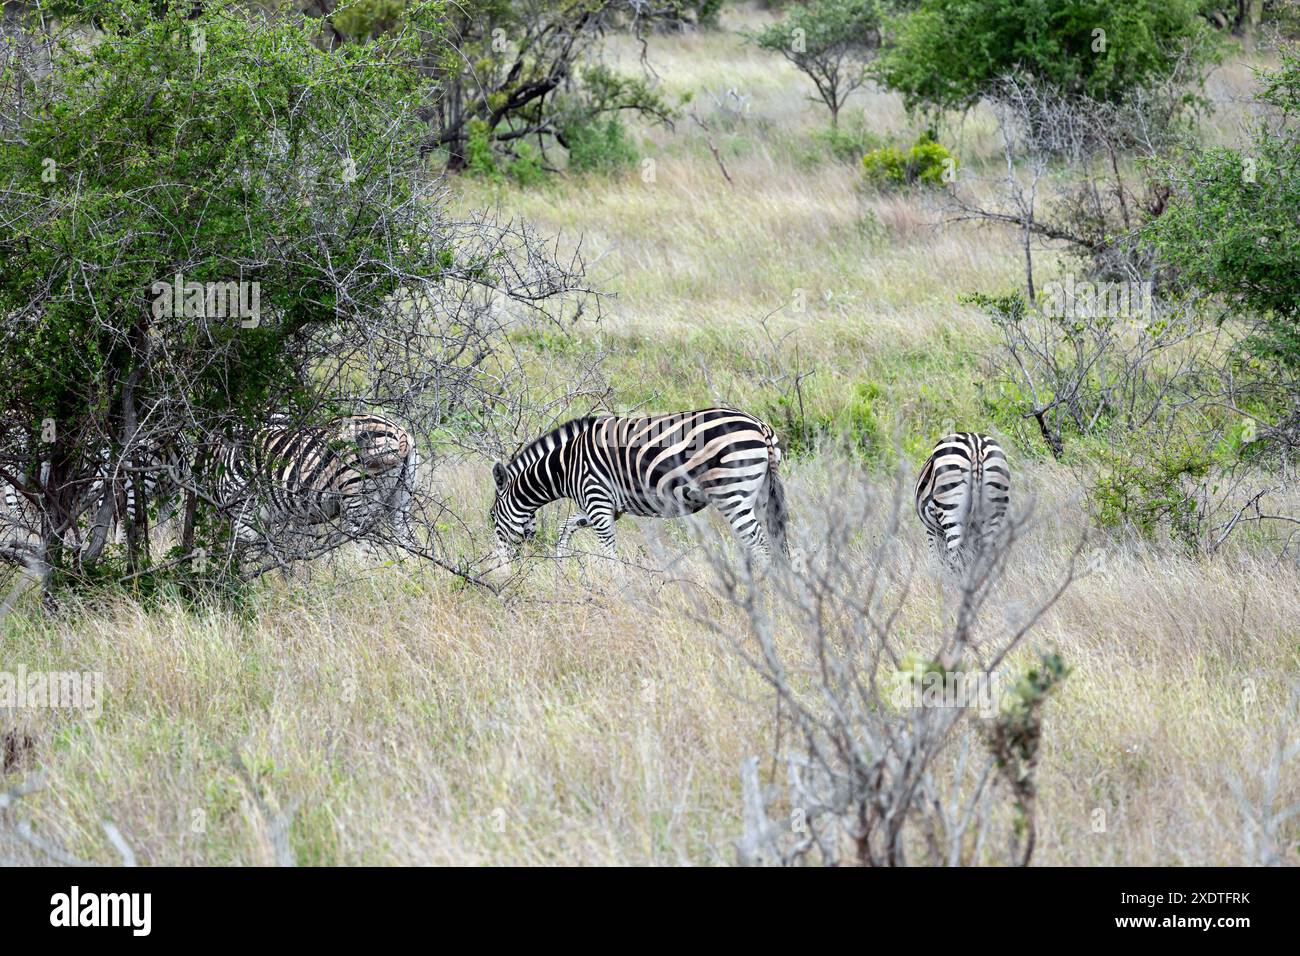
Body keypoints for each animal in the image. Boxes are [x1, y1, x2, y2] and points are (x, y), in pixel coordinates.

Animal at [218, 413, 418, 554]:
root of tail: (399, 433)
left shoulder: (242, 510)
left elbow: (253, 558)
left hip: (357, 500)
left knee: (363, 551)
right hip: (401, 500)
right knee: (407, 544)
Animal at [488, 405, 785, 567]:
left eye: (492, 517)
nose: (502, 566)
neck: (566, 465)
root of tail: (759, 425)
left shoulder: (597, 500)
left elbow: (608, 550)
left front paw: (616, 585)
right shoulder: (604, 506)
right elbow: (565, 528)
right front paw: (561, 564)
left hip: (732, 492)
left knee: (759, 543)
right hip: (761, 494)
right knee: (775, 540)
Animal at [909, 434, 1008, 574]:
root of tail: (976, 446)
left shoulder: (932, 532)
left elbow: (937, 561)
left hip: (951, 513)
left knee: (956, 562)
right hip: (994, 512)